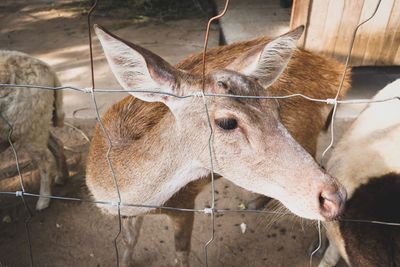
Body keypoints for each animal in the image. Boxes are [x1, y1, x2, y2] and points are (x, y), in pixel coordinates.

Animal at [85, 24, 350, 266]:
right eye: (227, 122)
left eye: (276, 107)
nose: (334, 197)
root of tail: (339, 73)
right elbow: (129, 240)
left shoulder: (184, 204)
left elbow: (181, 254)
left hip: (309, 133)